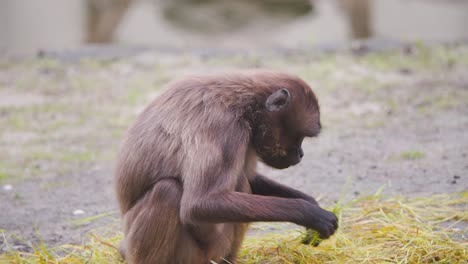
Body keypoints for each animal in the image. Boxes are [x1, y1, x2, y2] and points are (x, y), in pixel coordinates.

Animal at [115, 70, 338, 264]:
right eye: (300, 137)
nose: (301, 154)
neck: (244, 103)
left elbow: (250, 178)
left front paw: (311, 204)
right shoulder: (224, 126)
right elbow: (199, 204)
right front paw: (310, 212)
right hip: (201, 252)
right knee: (167, 190)